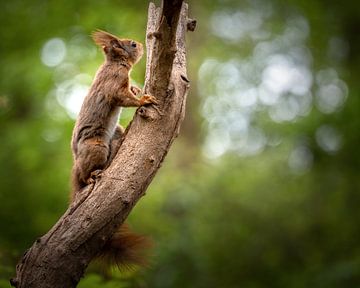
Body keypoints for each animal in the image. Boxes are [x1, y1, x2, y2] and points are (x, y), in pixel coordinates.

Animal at [69, 30, 155, 268]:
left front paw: (137, 89)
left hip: (114, 131)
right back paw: (91, 176)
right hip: (96, 147)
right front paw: (143, 99)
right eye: (132, 44)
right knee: (85, 173)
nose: (142, 44)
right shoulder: (114, 82)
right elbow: (121, 96)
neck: (115, 63)